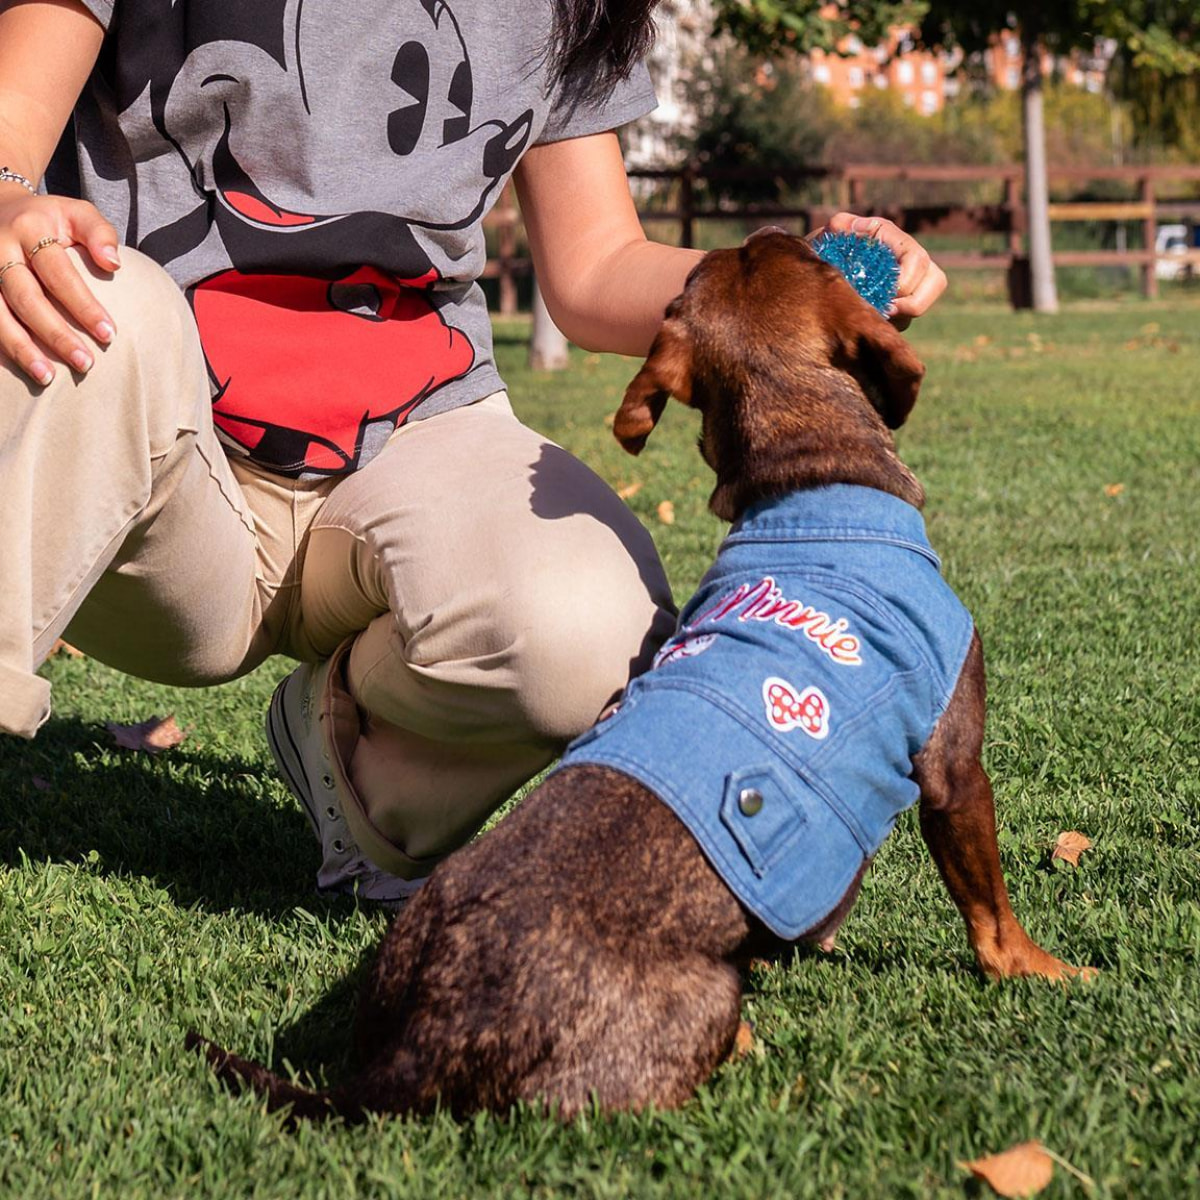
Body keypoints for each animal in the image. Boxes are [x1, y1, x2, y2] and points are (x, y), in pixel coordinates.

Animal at [189, 229, 1089, 1118]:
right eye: (816, 260)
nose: (772, 226)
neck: (808, 476)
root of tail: (411, 1050)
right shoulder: (953, 771)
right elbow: (991, 911)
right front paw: (1047, 971)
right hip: (698, 1002)